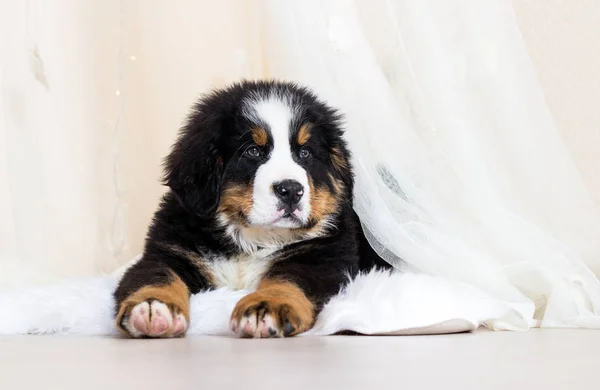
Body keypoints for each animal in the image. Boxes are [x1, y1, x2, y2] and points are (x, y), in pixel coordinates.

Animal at [115, 79, 392, 338]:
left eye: (304, 153)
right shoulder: (171, 251)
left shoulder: (322, 257)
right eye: (253, 151)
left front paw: (266, 305)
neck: (253, 240)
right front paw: (153, 307)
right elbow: (156, 276)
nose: (291, 190)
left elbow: (287, 279)